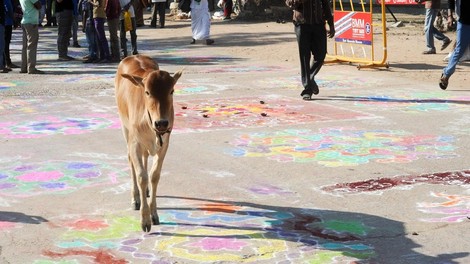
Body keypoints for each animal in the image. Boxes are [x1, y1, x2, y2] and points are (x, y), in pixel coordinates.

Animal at [114, 55, 183, 231]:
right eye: (147, 92)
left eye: (171, 91)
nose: (162, 123)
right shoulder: (134, 144)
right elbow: (141, 176)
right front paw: (145, 220)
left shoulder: (164, 145)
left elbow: (154, 176)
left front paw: (154, 214)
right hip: (125, 128)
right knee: (131, 161)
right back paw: (136, 197)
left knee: (145, 158)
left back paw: (144, 192)